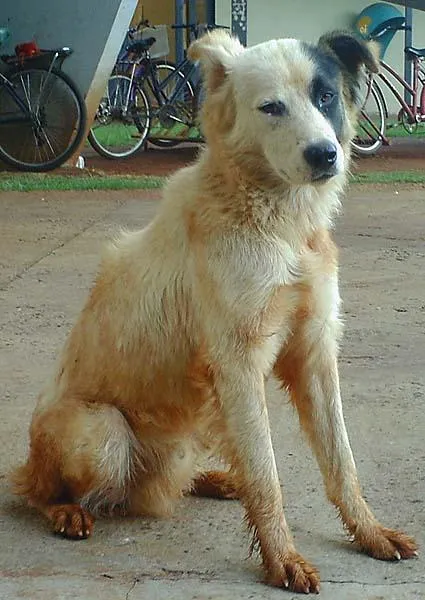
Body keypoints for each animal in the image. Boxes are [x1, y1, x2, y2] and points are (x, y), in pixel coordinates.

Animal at [11, 30, 416, 592]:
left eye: (326, 96)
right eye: (271, 107)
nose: (324, 155)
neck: (277, 224)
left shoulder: (314, 351)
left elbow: (342, 462)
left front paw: (370, 533)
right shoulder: (239, 363)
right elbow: (267, 476)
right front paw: (281, 558)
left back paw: (213, 481)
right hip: (103, 435)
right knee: (39, 492)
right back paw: (65, 509)